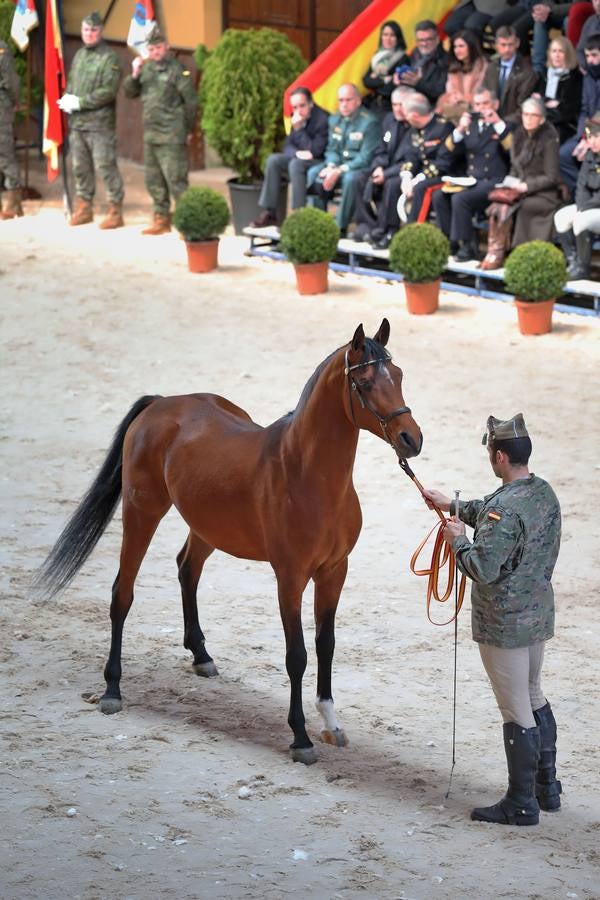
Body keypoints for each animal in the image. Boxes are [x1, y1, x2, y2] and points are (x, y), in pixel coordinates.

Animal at [35, 320, 422, 764]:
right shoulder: (290, 577)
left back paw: (201, 656)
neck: (307, 475)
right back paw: (112, 690)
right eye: (364, 382)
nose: (412, 439)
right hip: (141, 513)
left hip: (207, 526)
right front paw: (300, 737)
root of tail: (161, 405)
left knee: (187, 568)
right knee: (122, 593)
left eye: (399, 376)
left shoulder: (333, 571)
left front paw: (331, 724)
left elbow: (326, 645)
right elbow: (297, 655)